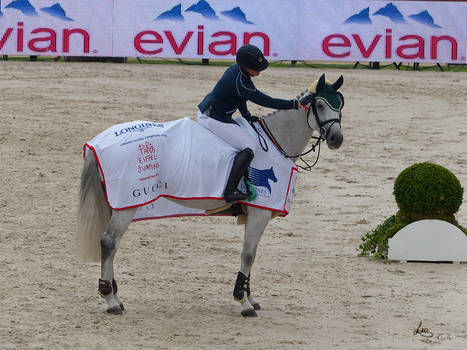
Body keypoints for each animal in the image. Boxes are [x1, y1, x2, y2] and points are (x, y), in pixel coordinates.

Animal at [78, 73, 346, 318]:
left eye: (340, 105)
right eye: (320, 105)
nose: (337, 139)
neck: (275, 141)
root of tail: (98, 142)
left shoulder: (253, 216)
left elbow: (251, 254)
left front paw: (250, 296)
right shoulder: (259, 212)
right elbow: (248, 254)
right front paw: (243, 302)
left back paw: (115, 295)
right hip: (127, 205)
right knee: (109, 242)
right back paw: (111, 300)